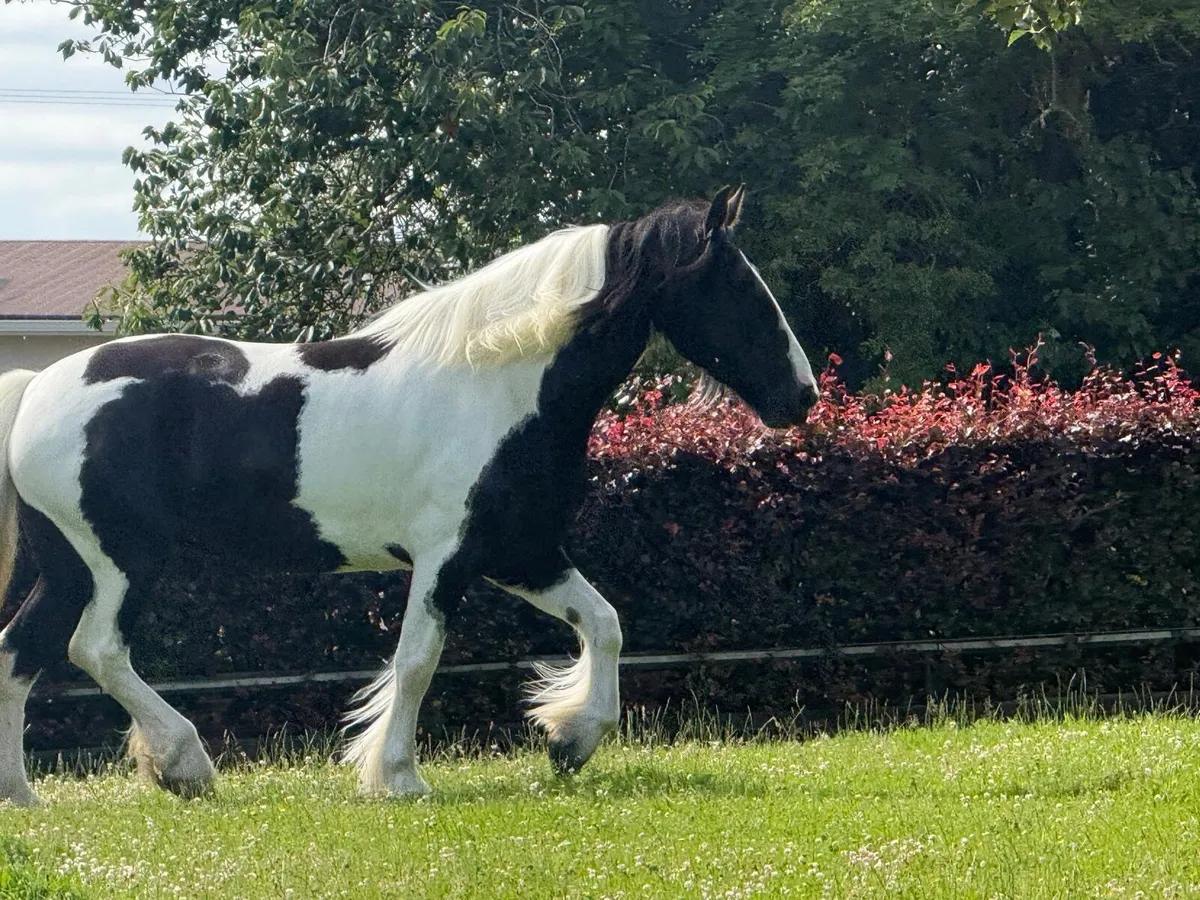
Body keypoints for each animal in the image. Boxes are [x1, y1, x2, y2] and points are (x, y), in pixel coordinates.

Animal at [0, 186, 818, 805]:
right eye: (742, 289)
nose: (803, 396)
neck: (501, 384)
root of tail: (38, 385)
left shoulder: (522, 553)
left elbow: (606, 623)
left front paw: (570, 740)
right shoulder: (446, 558)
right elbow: (419, 658)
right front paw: (398, 776)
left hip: (66, 565)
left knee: (20, 649)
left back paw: (24, 796)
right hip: (122, 561)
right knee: (96, 647)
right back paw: (185, 765)